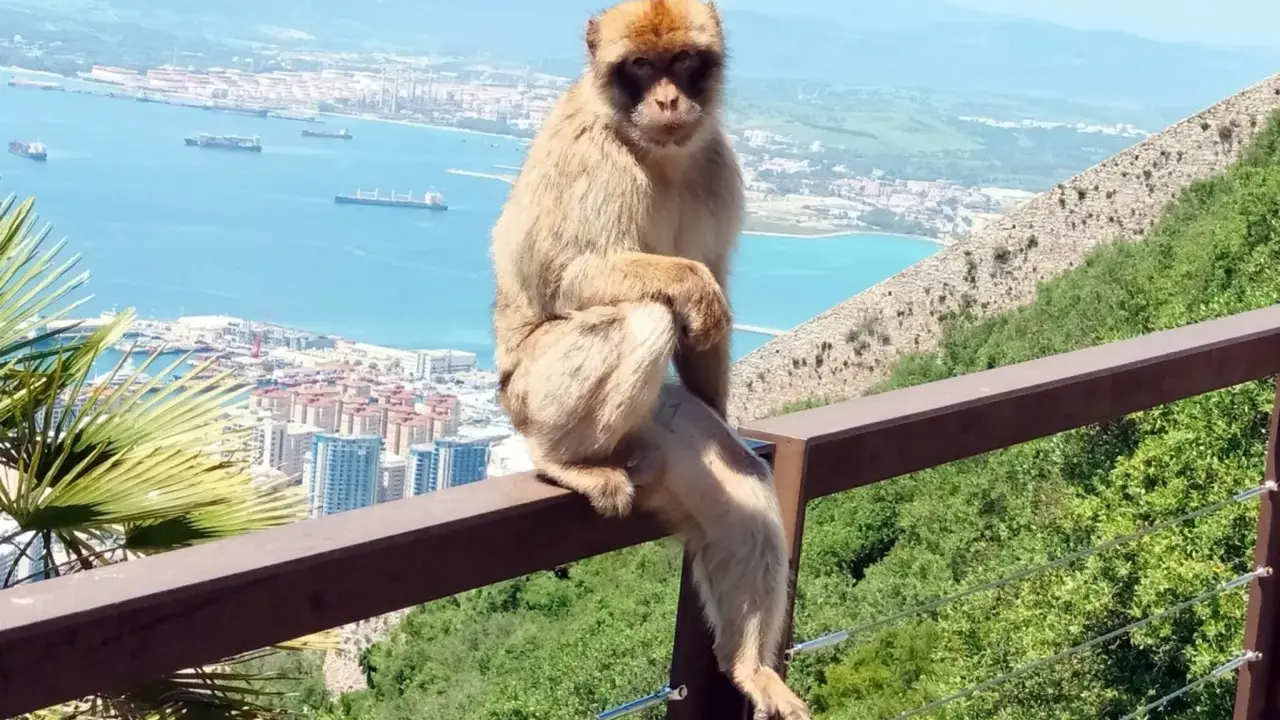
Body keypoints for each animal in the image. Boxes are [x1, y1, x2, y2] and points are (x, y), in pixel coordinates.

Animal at [488, 1, 811, 717]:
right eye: (640, 65)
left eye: (683, 61)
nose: (666, 98)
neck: (650, 149)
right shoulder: (595, 158)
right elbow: (570, 277)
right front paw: (693, 286)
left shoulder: (717, 163)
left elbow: (714, 284)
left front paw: (727, 407)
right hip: (531, 393)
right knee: (644, 315)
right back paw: (566, 462)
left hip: (662, 430)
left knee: (739, 497)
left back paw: (749, 667)